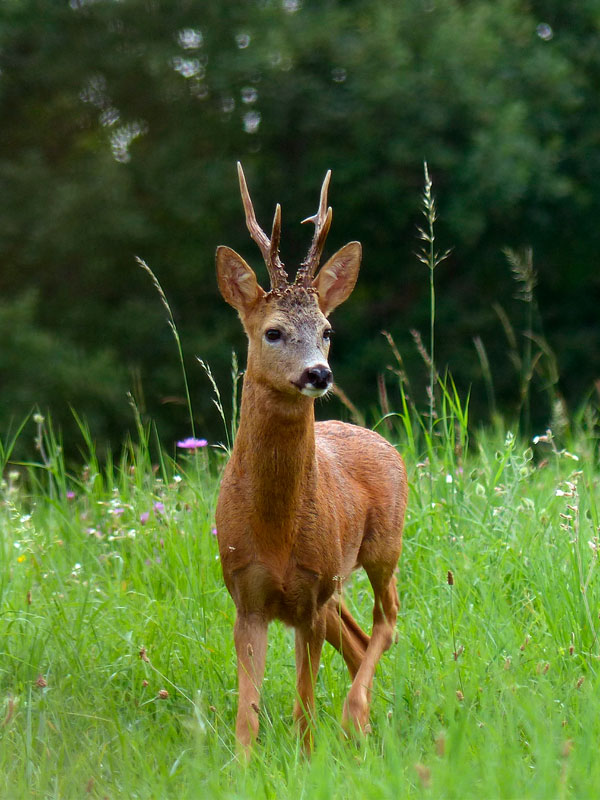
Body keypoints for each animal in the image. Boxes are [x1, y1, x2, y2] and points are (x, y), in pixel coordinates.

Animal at [216, 164, 408, 756]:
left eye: (327, 330)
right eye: (273, 331)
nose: (318, 373)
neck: (275, 533)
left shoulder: (309, 595)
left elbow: (303, 701)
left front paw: (307, 758)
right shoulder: (247, 594)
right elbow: (248, 712)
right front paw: (243, 764)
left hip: (381, 546)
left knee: (388, 618)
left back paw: (355, 717)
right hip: (335, 584)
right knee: (360, 636)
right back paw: (363, 724)